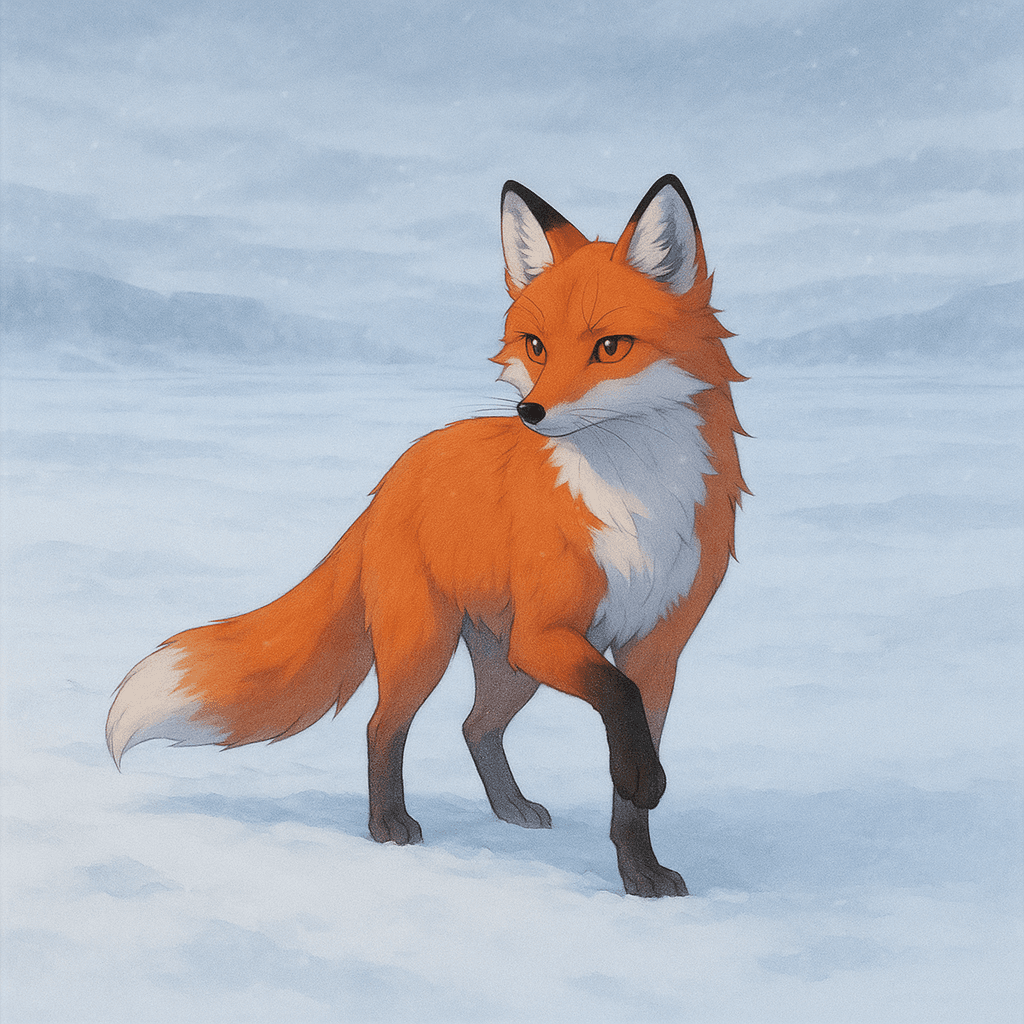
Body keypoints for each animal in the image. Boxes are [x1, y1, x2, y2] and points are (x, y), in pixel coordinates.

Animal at [106, 175, 747, 897]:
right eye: (536, 346)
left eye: (610, 347)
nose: (530, 413)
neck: (634, 500)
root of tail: (396, 474)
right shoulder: (549, 632)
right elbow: (619, 705)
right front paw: (644, 786)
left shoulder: (655, 652)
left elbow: (628, 766)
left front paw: (640, 871)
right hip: (430, 645)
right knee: (381, 725)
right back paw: (389, 825)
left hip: (507, 664)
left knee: (474, 726)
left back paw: (509, 807)